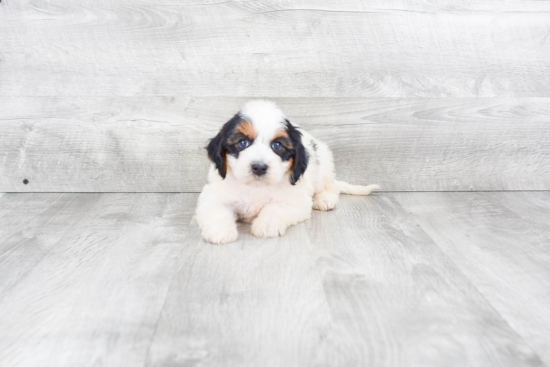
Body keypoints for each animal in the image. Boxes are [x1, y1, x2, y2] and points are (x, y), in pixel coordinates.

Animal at [196, 99, 382, 246]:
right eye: (242, 143)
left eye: (277, 146)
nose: (259, 167)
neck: (256, 186)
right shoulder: (214, 194)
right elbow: (217, 210)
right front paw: (220, 230)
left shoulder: (296, 201)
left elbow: (275, 208)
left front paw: (266, 225)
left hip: (324, 165)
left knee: (331, 187)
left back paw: (324, 198)